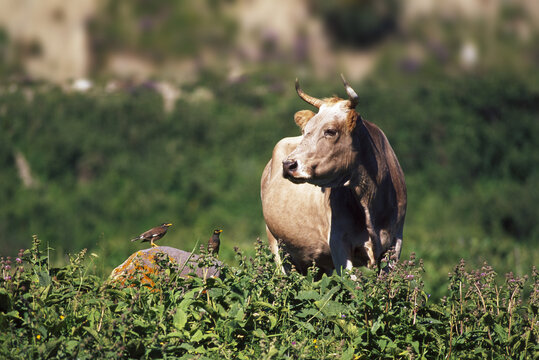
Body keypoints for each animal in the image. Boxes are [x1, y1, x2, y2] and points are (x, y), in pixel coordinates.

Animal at [260, 74, 404, 274]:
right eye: (306, 131)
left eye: (330, 131)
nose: (288, 165)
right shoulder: (338, 243)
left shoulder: (396, 242)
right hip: (276, 245)